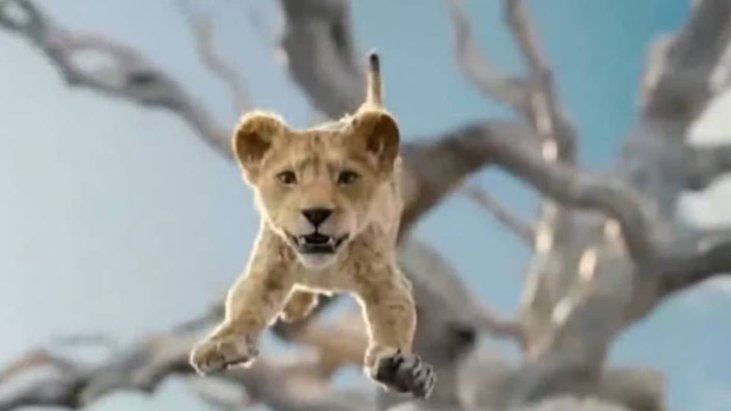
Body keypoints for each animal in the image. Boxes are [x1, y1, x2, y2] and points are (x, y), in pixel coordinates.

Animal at [189, 52, 435, 398]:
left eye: (347, 177)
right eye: (287, 177)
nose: (316, 213)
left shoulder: (386, 280)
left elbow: (394, 319)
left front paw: (401, 369)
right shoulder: (267, 270)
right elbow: (243, 308)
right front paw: (221, 345)